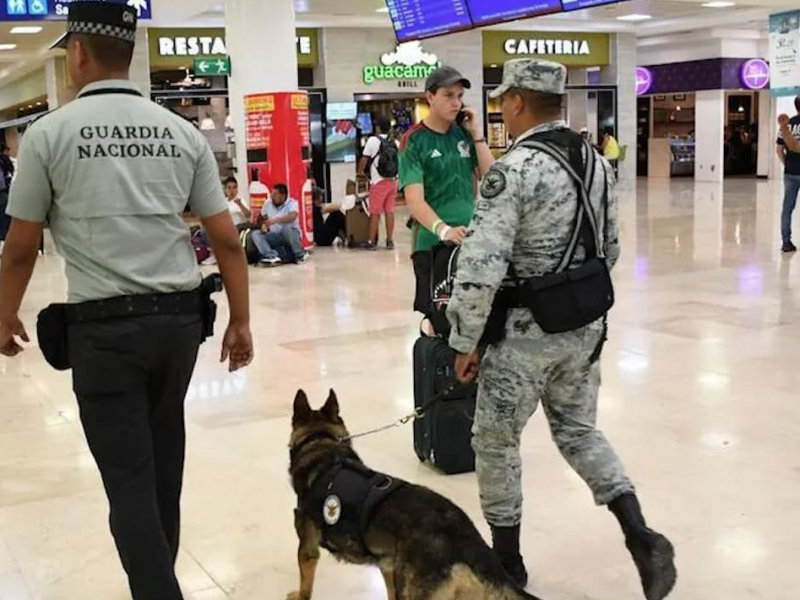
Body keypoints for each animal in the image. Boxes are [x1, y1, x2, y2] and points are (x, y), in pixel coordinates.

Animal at [288, 390, 544, 600]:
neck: (320, 441)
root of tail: (465, 539)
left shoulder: (307, 549)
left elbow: (305, 584)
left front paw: (299, 595)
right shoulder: (387, 566)